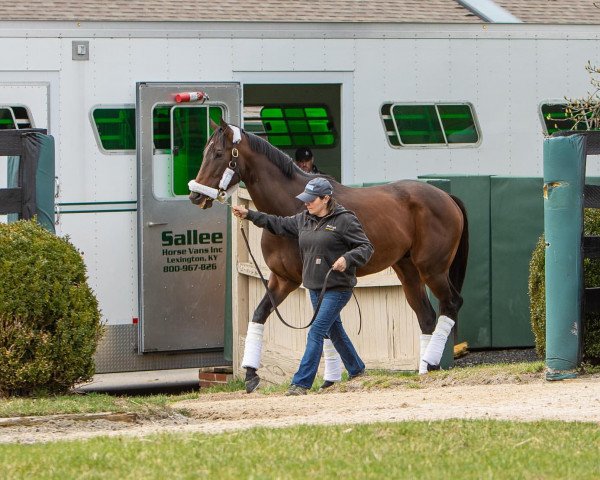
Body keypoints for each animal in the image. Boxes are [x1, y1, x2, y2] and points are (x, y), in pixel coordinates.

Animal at [189, 118, 468, 392]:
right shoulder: (283, 279)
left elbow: (322, 326)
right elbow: (261, 316)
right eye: (203, 153)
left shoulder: (308, 282)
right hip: (407, 270)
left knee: (451, 304)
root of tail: (445, 195)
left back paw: (430, 361)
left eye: (218, 153)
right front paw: (251, 374)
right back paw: (425, 370)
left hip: (433, 269)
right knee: (426, 316)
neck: (293, 207)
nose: (195, 195)